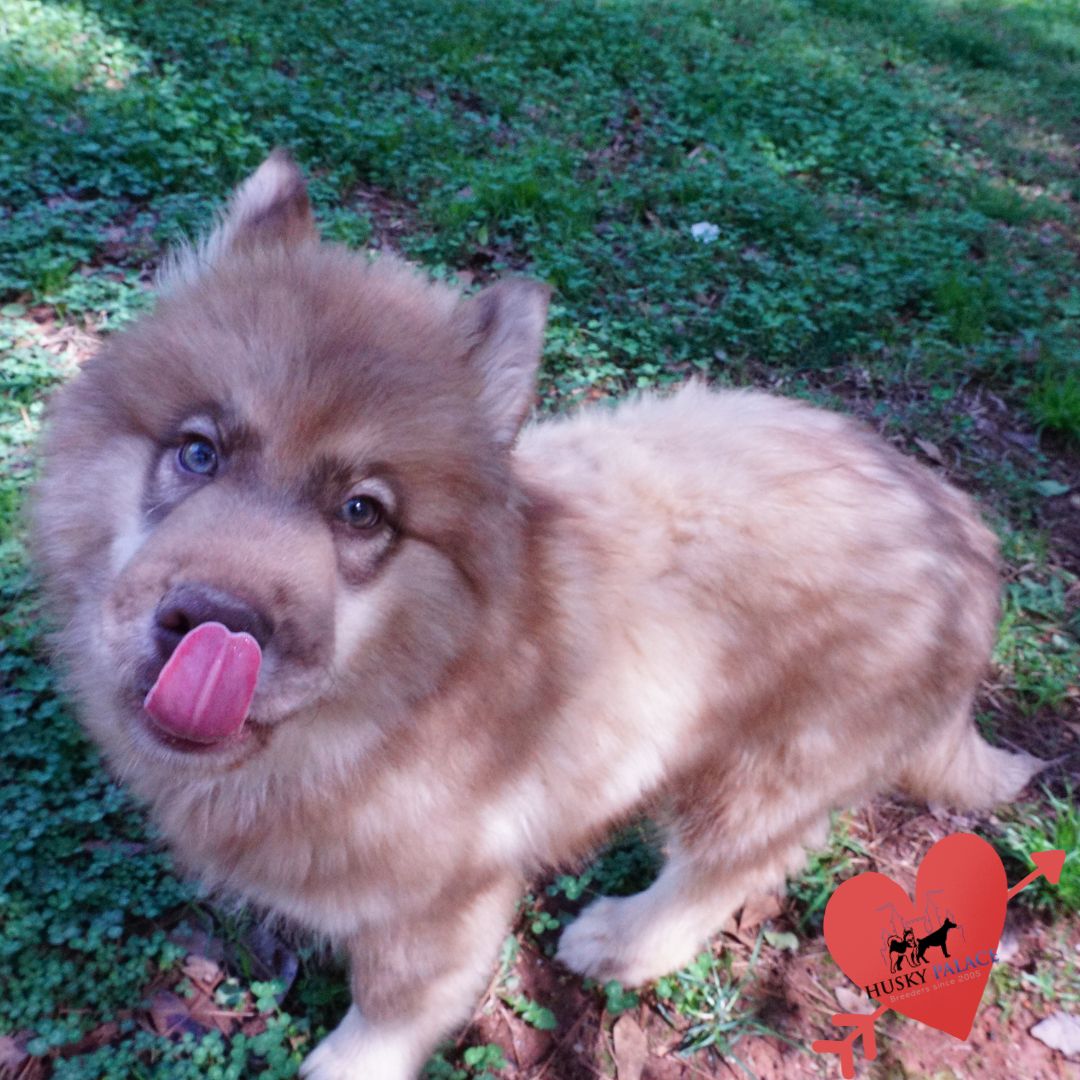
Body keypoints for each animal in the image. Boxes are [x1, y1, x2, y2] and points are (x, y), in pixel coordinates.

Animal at [33, 151, 1042, 1079]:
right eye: (197, 453)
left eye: (362, 513)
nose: (215, 624)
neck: (389, 706)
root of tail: (963, 532)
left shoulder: (440, 905)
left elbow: (395, 1004)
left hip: (768, 766)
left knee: (730, 868)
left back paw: (623, 939)